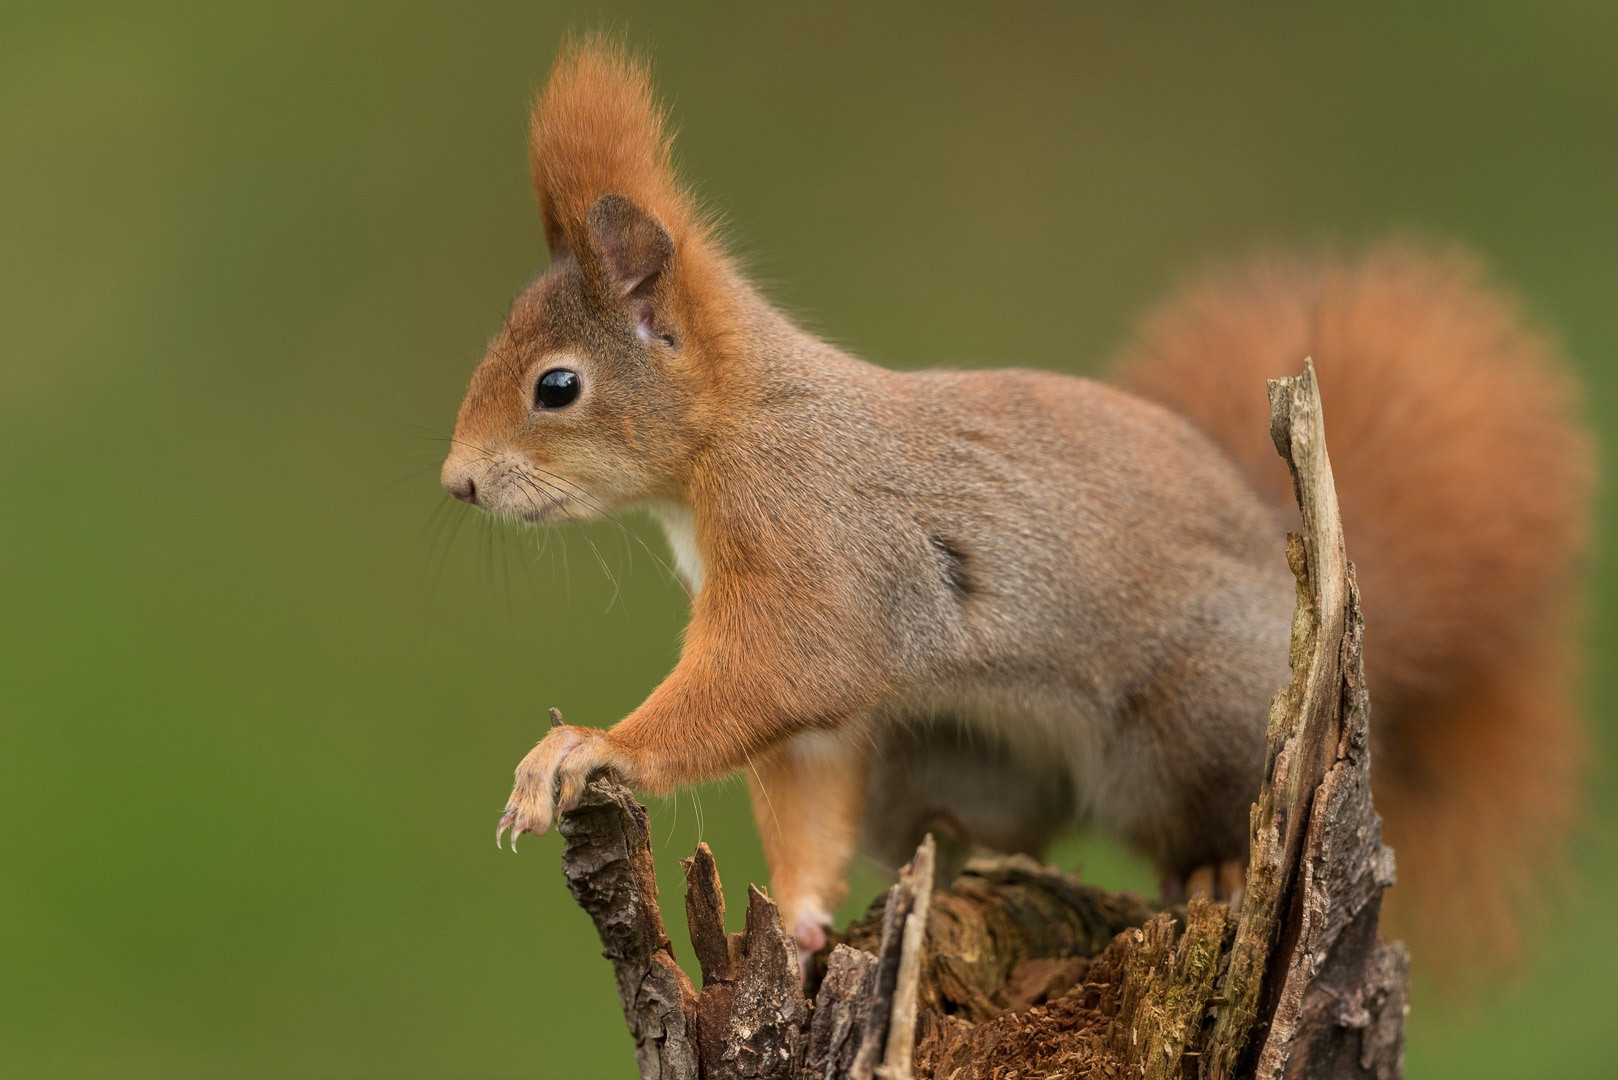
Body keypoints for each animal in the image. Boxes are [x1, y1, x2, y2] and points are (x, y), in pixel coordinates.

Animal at [441, 39, 1591, 969]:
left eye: (556, 386)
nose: (457, 483)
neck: (735, 429)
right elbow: (809, 772)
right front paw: (805, 921)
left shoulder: (821, 548)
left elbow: (779, 674)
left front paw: (591, 748)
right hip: (953, 759)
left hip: (1192, 719)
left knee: (1203, 816)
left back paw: (1216, 872)